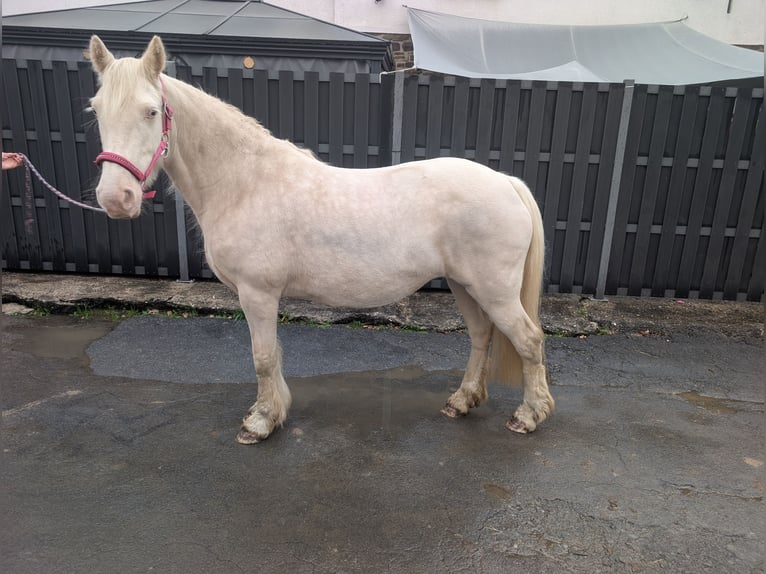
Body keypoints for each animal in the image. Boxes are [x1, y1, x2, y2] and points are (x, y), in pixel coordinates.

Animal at [87, 35, 554, 444]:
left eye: (151, 112)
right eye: (96, 110)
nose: (115, 198)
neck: (244, 182)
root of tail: (506, 182)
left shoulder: (257, 293)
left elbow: (262, 357)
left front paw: (259, 423)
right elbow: (273, 355)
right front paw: (273, 411)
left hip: (493, 290)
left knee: (528, 341)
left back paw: (529, 415)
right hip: (464, 285)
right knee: (481, 336)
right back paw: (462, 401)